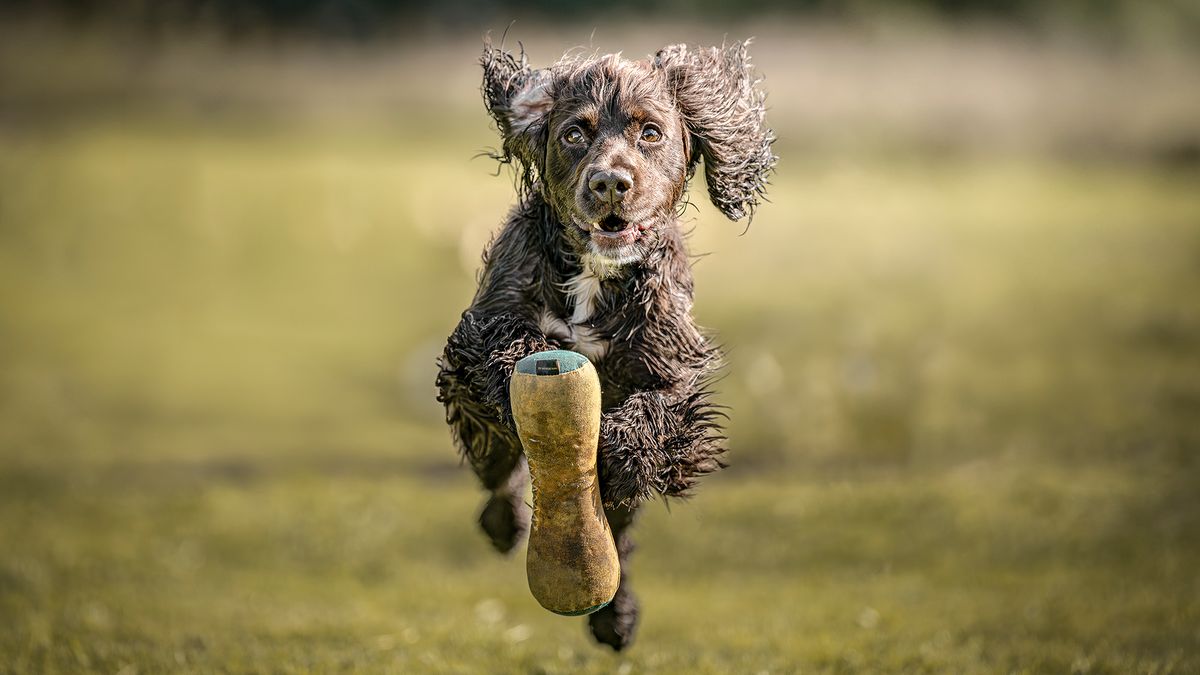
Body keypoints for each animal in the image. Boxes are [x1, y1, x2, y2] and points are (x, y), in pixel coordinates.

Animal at [436, 38, 772, 648]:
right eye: (575, 133)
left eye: (651, 132)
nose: (610, 182)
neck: (596, 275)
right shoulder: (479, 333)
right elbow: (500, 349)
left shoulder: (670, 364)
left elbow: (661, 414)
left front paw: (620, 447)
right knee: (498, 474)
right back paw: (507, 524)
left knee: (616, 530)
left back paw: (614, 617)